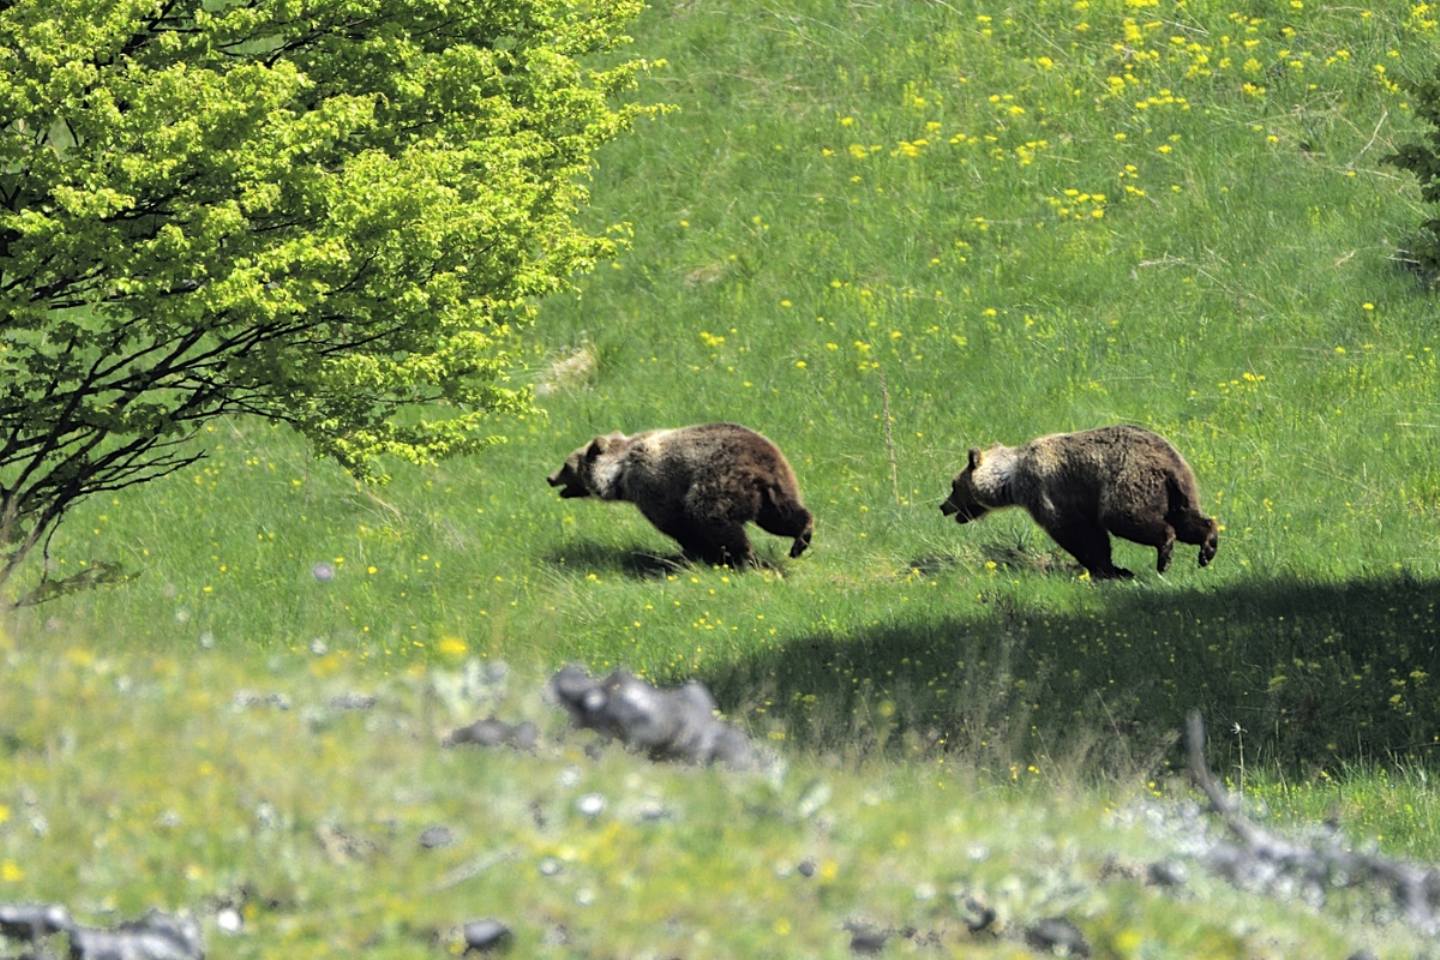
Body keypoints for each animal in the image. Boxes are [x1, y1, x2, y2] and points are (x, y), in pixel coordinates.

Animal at [547, 423, 817, 569]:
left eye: (566, 465)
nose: (549, 477)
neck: (619, 473)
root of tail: (760, 465)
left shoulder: (654, 485)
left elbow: (678, 525)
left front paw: (696, 553)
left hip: (719, 480)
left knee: (712, 517)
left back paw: (743, 556)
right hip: (776, 488)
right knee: (783, 516)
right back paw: (800, 539)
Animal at [938, 426, 1221, 578]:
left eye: (954, 485)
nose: (943, 506)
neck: (1011, 479)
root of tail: (1166, 463)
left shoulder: (1047, 490)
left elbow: (1078, 533)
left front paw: (1107, 569)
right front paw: (1116, 569)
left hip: (1129, 482)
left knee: (1126, 518)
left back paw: (1165, 554)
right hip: (1179, 489)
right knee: (1188, 519)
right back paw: (1208, 546)